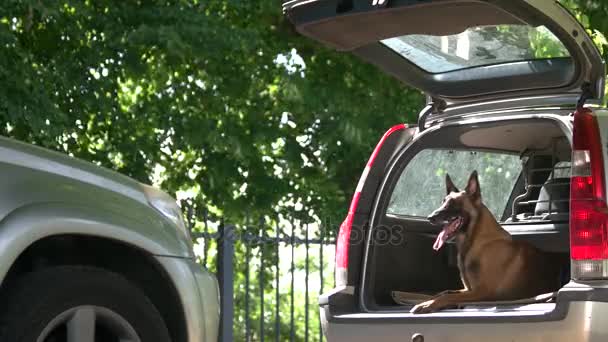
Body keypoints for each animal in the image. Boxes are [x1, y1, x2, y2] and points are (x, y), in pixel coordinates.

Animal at [410, 170, 564, 314]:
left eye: (453, 204)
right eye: (443, 202)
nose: (430, 217)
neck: (475, 241)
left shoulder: (481, 291)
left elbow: (447, 296)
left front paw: (427, 304)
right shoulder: (468, 289)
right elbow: (444, 292)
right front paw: (428, 300)